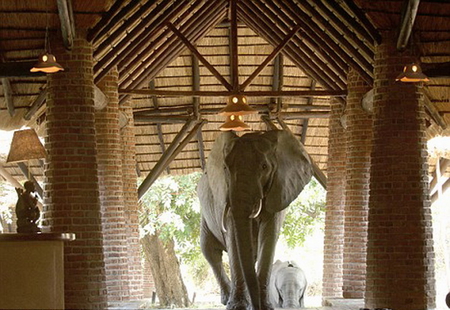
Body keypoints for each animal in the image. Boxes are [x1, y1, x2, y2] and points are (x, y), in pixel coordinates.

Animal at [197, 130, 312, 308]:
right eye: (225, 168)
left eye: (264, 167)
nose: (256, 305)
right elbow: (233, 239)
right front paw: (237, 307)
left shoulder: (279, 189)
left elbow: (269, 235)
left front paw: (264, 306)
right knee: (210, 250)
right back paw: (226, 299)